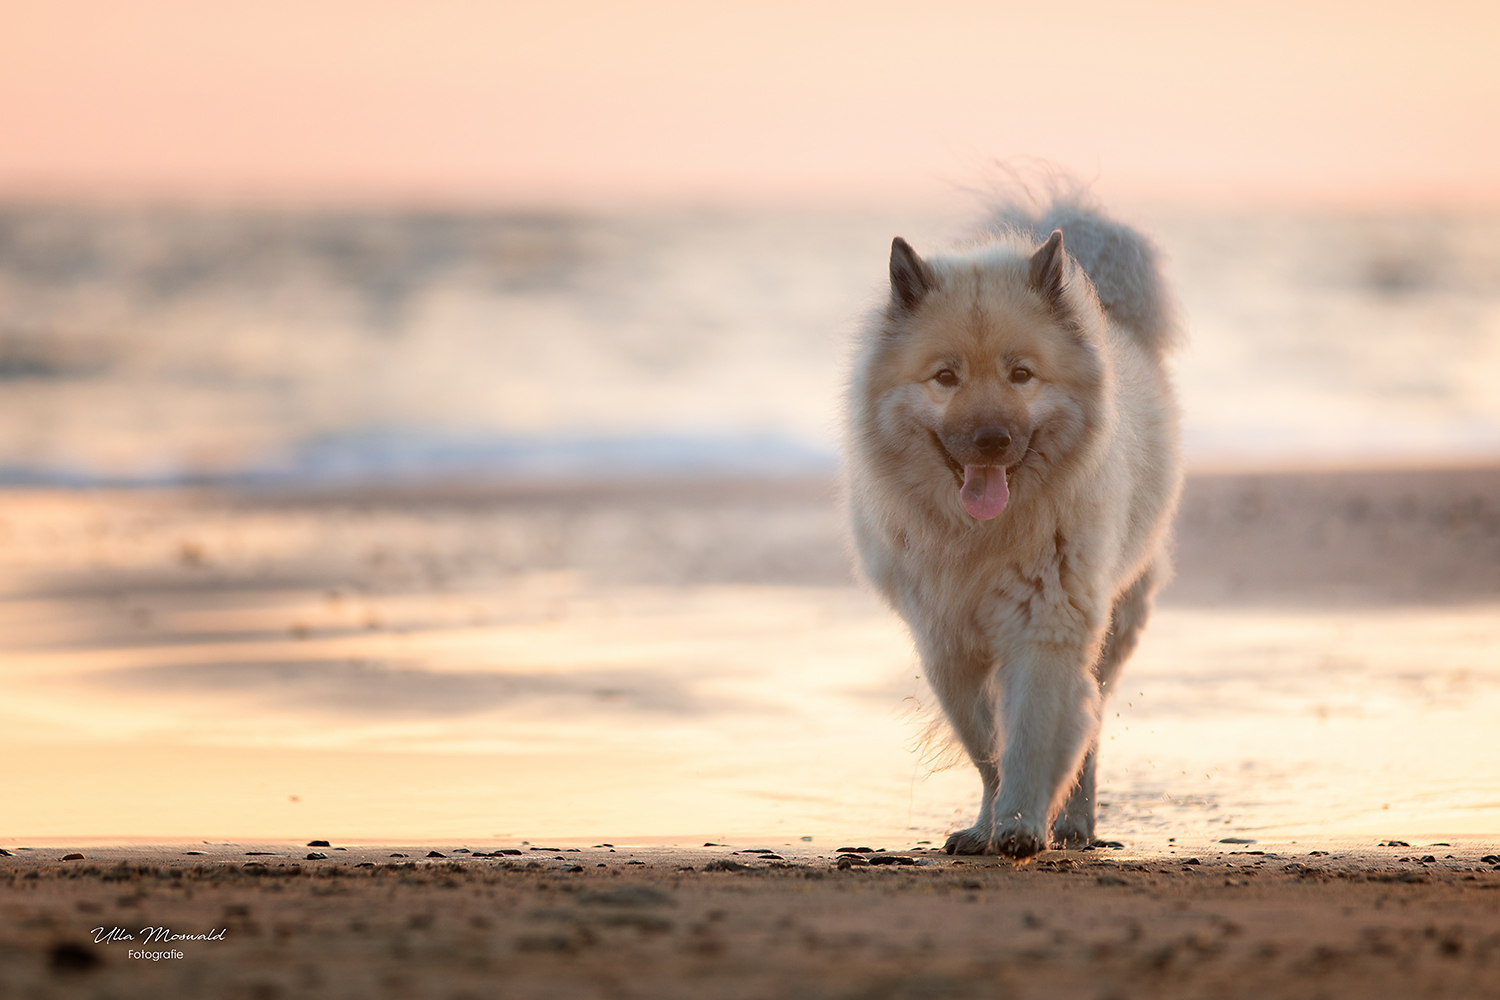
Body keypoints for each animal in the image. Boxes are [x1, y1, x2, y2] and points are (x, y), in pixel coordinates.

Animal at [846, 197, 1182, 863]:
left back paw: (1076, 823)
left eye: (1021, 374)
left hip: (1111, 624)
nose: (991, 440)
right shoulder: (946, 643)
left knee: (1090, 725)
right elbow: (987, 745)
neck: (982, 539)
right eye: (945, 377)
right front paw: (988, 823)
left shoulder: (1046, 629)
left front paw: (1024, 823)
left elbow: (1029, 736)